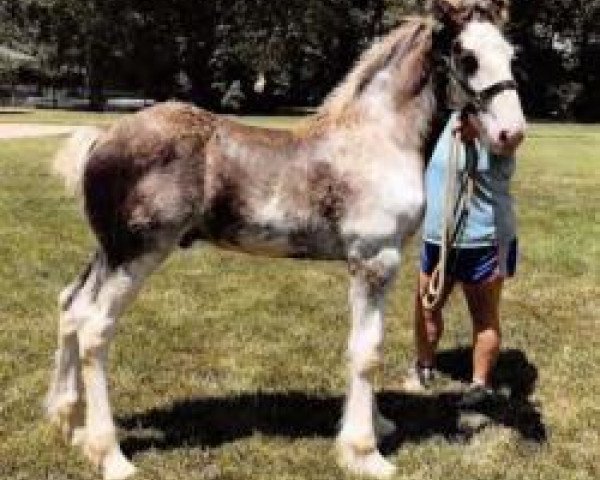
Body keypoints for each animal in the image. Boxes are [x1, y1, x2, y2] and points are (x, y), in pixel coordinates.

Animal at [47, 1, 524, 478]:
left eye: (510, 54)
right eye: (467, 57)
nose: (512, 134)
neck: (380, 139)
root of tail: (102, 139)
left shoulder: (379, 263)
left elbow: (367, 343)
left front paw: (378, 425)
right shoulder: (374, 260)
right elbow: (367, 351)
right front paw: (365, 453)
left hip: (108, 252)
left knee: (71, 306)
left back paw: (68, 424)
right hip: (138, 255)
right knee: (95, 330)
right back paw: (110, 455)